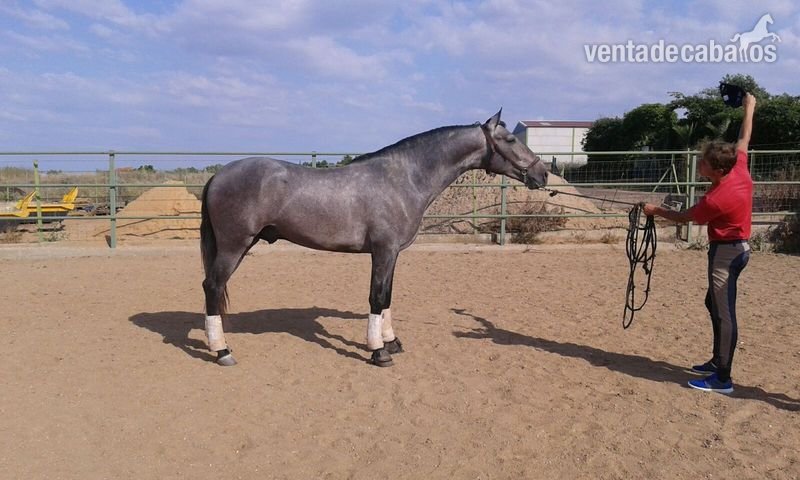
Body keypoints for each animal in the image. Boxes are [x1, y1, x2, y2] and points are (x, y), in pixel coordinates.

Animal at [199, 109, 549, 367]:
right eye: (510, 138)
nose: (542, 173)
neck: (404, 178)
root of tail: (218, 176)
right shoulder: (383, 251)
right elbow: (376, 297)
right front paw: (378, 351)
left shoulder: (393, 254)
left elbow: (388, 297)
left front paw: (392, 342)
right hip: (234, 246)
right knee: (212, 286)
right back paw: (222, 351)